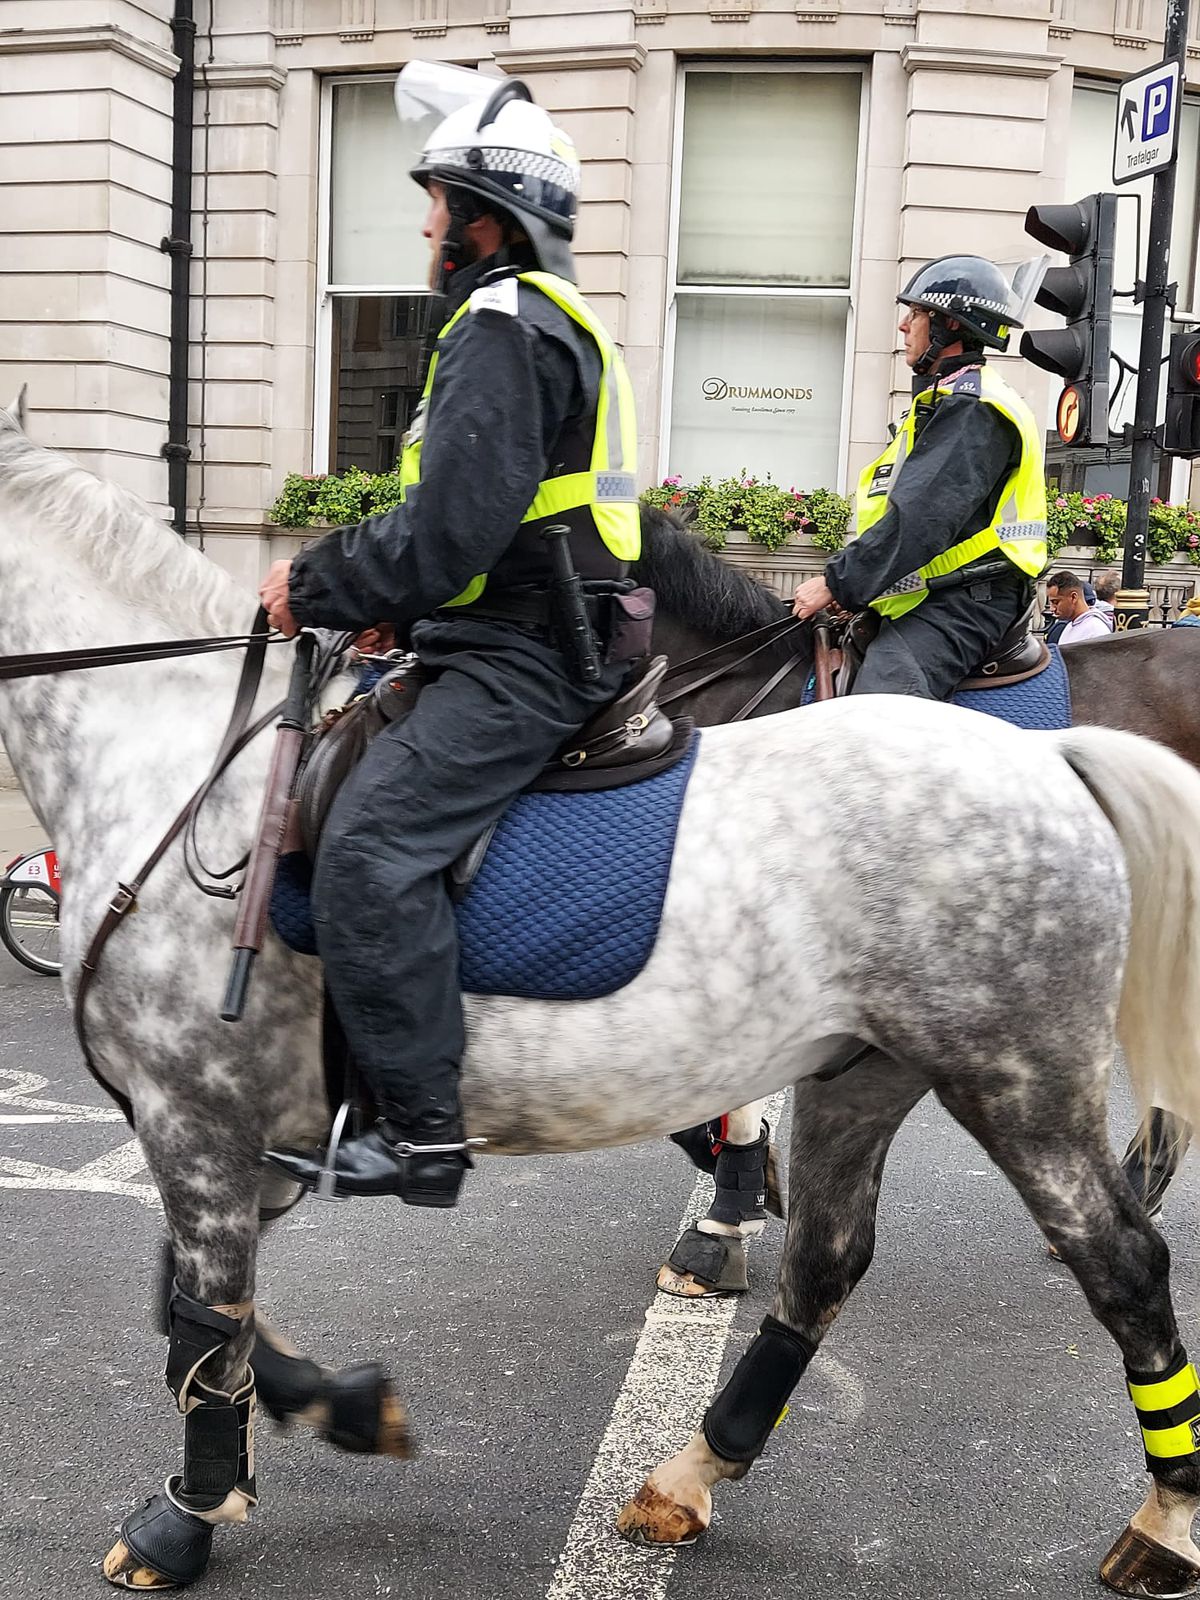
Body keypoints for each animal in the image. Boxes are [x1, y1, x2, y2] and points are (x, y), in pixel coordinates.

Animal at [2, 393, 1200, 1593]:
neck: (181, 759)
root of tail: (1056, 763)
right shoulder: (241, 1129)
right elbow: (202, 1308)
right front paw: (337, 1414)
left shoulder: (194, 1113)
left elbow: (202, 1315)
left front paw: (189, 1513)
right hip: (869, 1075)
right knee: (825, 1265)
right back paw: (690, 1470)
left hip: (1016, 1077)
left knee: (1125, 1263)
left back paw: (1164, 1516)